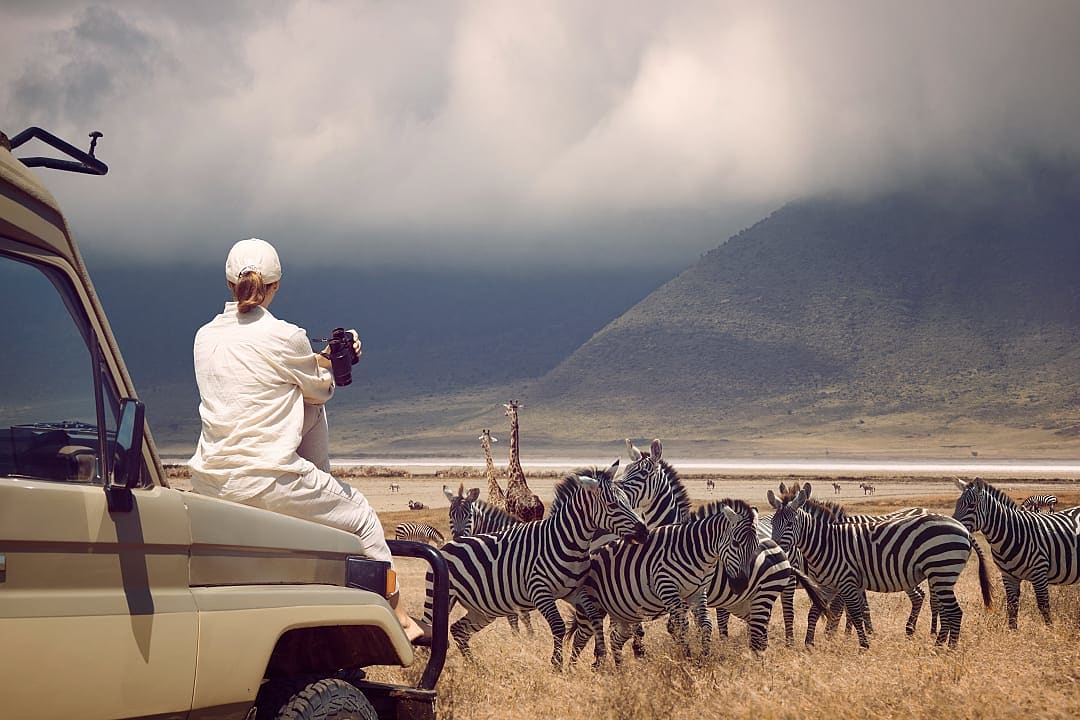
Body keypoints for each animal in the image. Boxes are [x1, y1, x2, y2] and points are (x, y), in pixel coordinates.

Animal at [424, 462, 648, 670]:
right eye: (612, 505)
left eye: (627, 500)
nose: (644, 532)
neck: (566, 541)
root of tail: (447, 545)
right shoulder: (539, 591)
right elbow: (557, 626)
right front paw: (556, 664)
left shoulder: (574, 591)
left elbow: (594, 617)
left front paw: (599, 657)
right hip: (439, 597)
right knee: (430, 626)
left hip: (482, 608)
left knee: (458, 630)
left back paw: (475, 666)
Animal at [769, 481, 992, 648]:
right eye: (772, 523)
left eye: (789, 524)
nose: (775, 551)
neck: (826, 543)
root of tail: (964, 529)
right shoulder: (827, 586)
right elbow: (815, 612)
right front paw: (809, 645)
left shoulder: (846, 582)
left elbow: (854, 613)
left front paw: (862, 645)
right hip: (940, 575)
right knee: (944, 608)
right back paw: (937, 643)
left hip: (942, 570)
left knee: (954, 611)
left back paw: (946, 649)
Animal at [953, 477, 1080, 628]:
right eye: (957, 504)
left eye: (972, 505)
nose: (953, 527)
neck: (1013, 533)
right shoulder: (1008, 576)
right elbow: (1012, 607)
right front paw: (1012, 631)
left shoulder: (1039, 572)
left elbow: (1044, 606)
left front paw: (1050, 630)